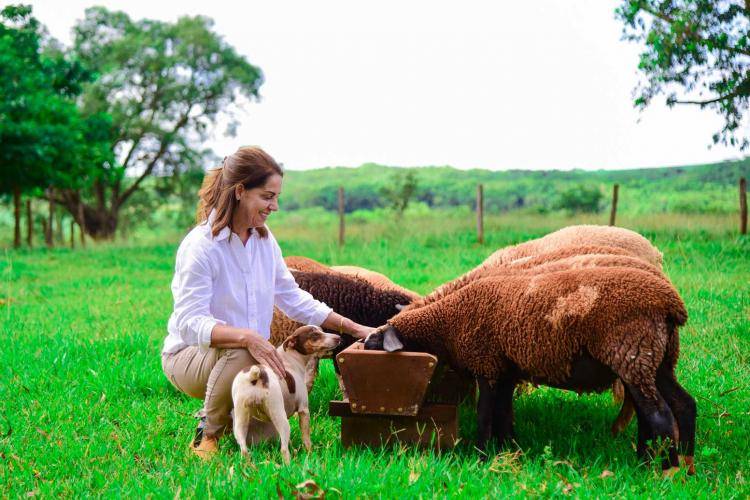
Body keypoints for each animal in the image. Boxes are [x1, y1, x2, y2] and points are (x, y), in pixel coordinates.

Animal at [231, 326, 342, 462]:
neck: (291, 359)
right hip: (279, 416)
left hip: (240, 421)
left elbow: (289, 441)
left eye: (321, 330)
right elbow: (306, 439)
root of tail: (256, 375)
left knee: (244, 450)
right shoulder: (303, 410)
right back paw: (290, 465)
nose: (338, 337)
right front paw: (310, 454)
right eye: (315, 335)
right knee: (283, 450)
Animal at [364, 268, 700, 474]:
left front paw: (481, 457)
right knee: (682, 405)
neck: (448, 321)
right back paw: (680, 463)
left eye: (375, 342)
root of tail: (672, 305)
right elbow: (503, 413)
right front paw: (509, 450)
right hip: (655, 359)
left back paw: (664, 469)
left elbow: (485, 415)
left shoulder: (486, 363)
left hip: (632, 352)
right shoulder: (504, 369)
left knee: (659, 414)